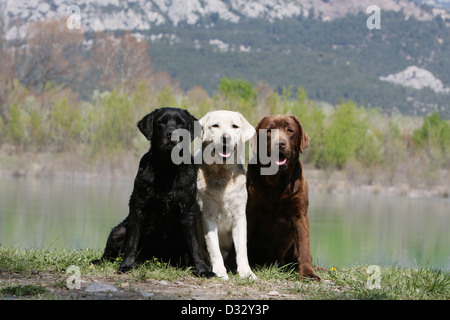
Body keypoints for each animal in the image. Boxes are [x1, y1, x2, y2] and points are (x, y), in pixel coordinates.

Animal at [91, 107, 214, 278]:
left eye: (181, 123)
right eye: (161, 123)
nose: (172, 134)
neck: (167, 169)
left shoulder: (187, 212)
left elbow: (195, 246)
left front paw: (202, 269)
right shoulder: (138, 207)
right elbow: (132, 243)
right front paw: (126, 265)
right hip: (118, 231)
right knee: (109, 254)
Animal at [196, 110, 256, 280]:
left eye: (234, 126)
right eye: (215, 126)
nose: (225, 137)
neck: (222, 175)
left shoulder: (240, 216)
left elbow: (242, 248)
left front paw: (246, 272)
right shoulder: (207, 216)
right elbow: (213, 247)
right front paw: (219, 271)